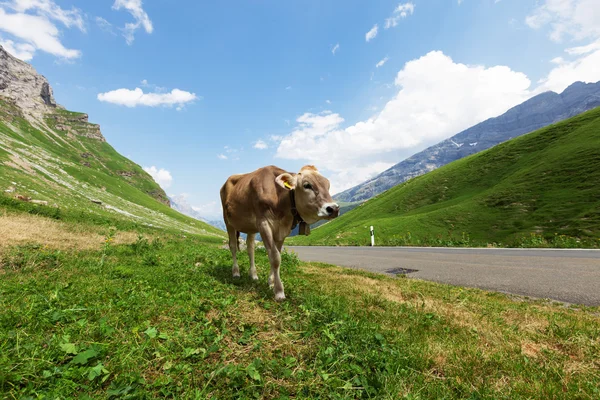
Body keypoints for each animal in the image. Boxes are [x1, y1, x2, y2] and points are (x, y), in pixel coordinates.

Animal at [221, 165, 342, 300]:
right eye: (307, 185)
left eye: (328, 185)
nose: (334, 209)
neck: (279, 198)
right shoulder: (264, 224)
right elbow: (275, 257)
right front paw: (279, 291)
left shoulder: (282, 229)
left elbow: (277, 255)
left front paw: (271, 282)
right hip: (228, 221)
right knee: (232, 246)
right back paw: (236, 272)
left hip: (251, 227)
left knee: (250, 248)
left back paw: (253, 275)